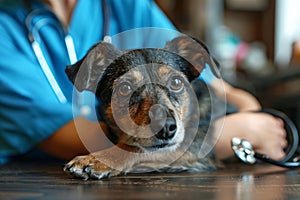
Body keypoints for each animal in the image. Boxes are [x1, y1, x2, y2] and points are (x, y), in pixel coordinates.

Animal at [63, 34, 220, 180]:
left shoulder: (194, 148)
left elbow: (135, 149)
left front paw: (98, 159)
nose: (165, 127)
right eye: (125, 89)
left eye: (176, 82)